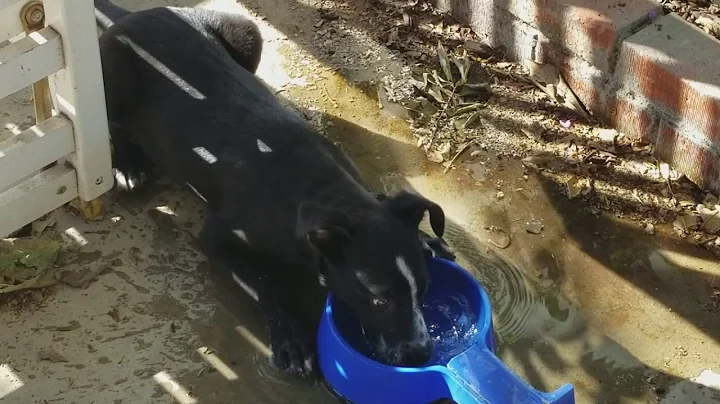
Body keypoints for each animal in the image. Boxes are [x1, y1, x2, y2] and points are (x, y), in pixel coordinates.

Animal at [93, 1, 452, 378]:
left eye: (424, 288)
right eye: (379, 300)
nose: (421, 354)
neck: (320, 186)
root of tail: (131, 16)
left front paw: (426, 240)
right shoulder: (219, 238)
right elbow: (266, 283)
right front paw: (292, 341)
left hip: (246, 32)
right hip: (111, 81)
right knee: (112, 125)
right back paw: (129, 164)